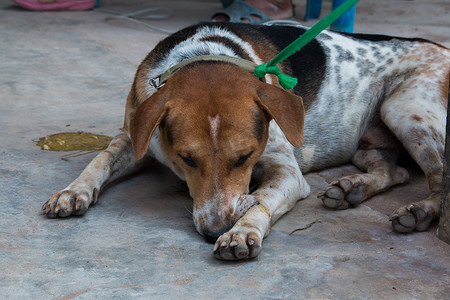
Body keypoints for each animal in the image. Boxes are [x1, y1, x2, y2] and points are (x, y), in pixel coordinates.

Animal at [43, 22, 450, 260]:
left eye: (245, 157)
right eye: (186, 159)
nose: (214, 231)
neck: (206, 54)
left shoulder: (287, 172)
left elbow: (263, 198)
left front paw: (242, 231)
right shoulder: (135, 134)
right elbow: (100, 159)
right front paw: (72, 191)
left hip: (406, 108)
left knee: (437, 179)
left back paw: (420, 212)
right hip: (373, 141)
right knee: (396, 172)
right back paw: (353, 188)